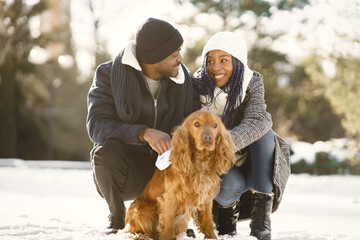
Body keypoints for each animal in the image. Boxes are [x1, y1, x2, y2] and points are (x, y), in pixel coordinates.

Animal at [124, 109, 236, 239]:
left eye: (215, 125)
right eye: (197, 124)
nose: (208, 137)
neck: (200, 164)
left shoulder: (206, 196)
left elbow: (208, 221)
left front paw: (212, 237)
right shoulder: (170, 197)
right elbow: (168, 222)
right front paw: (168, 237)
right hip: (143, 211)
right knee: (133, 231)